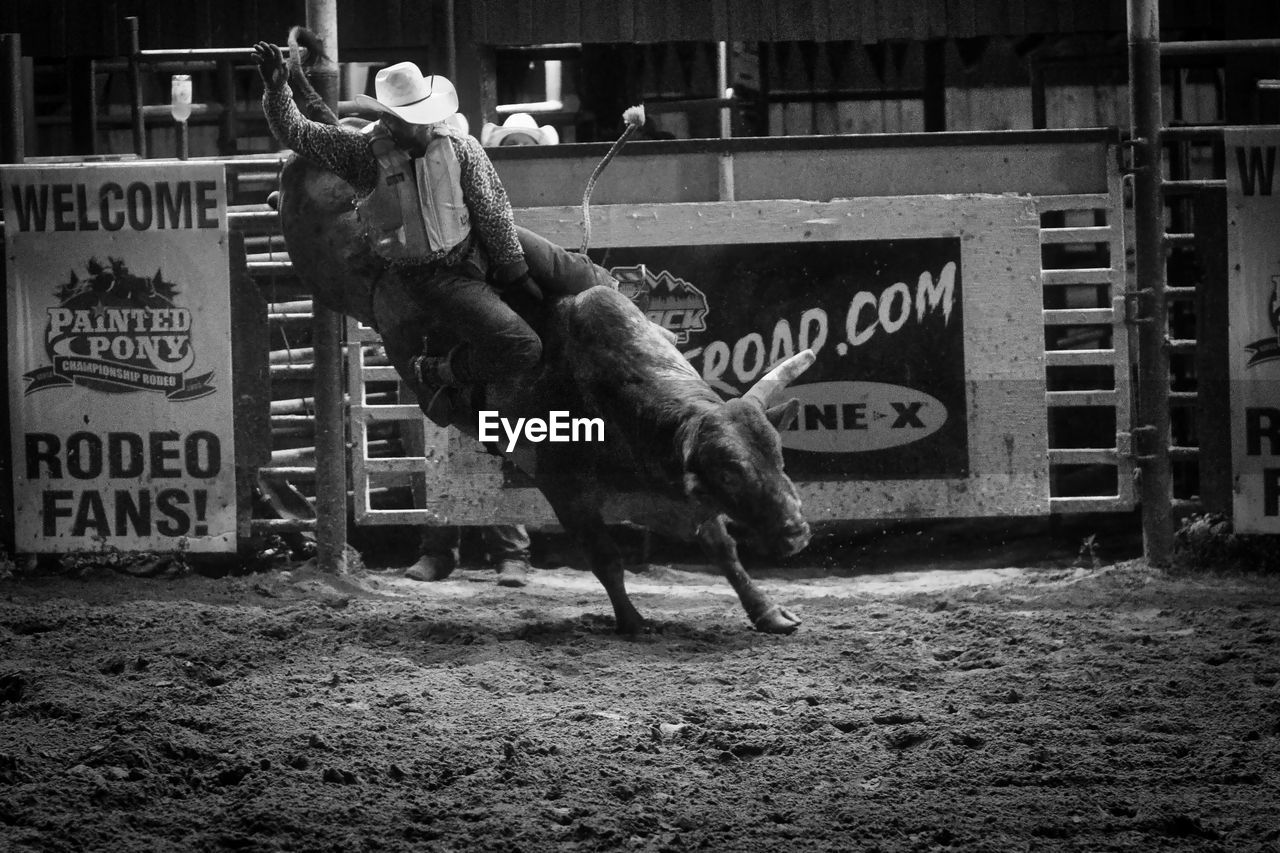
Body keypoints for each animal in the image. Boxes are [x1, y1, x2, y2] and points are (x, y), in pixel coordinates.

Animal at [271, 29, 814, 630]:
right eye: (732, 473)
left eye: (778, 455)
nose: (796, 531)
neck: (615, 399)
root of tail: (351, 139)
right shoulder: (564, 490)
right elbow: (605, 558)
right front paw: (632, 622)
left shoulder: (678, 495)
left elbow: (723, 549)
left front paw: (768, 612)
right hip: (321, 254)